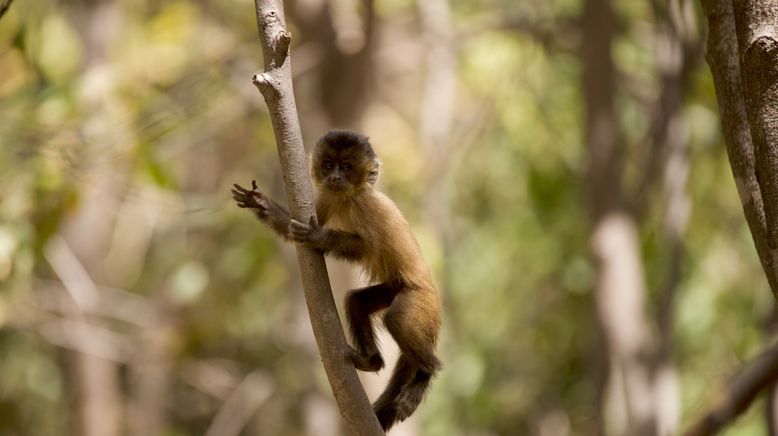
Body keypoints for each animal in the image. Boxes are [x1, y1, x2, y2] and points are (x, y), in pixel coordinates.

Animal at [229, 129, 442, 430]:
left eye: (347, 167)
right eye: (329, 165)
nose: (335, 177)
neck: (349, 196)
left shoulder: (365, 205)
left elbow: (370, 247)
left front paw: (319, 238)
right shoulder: (328, 195)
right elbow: (293, 227)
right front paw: (261, 204)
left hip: (420, 301)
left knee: (396, 319)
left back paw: (426, 373)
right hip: (395, 290)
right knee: (357, 301)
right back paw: (372, 362)